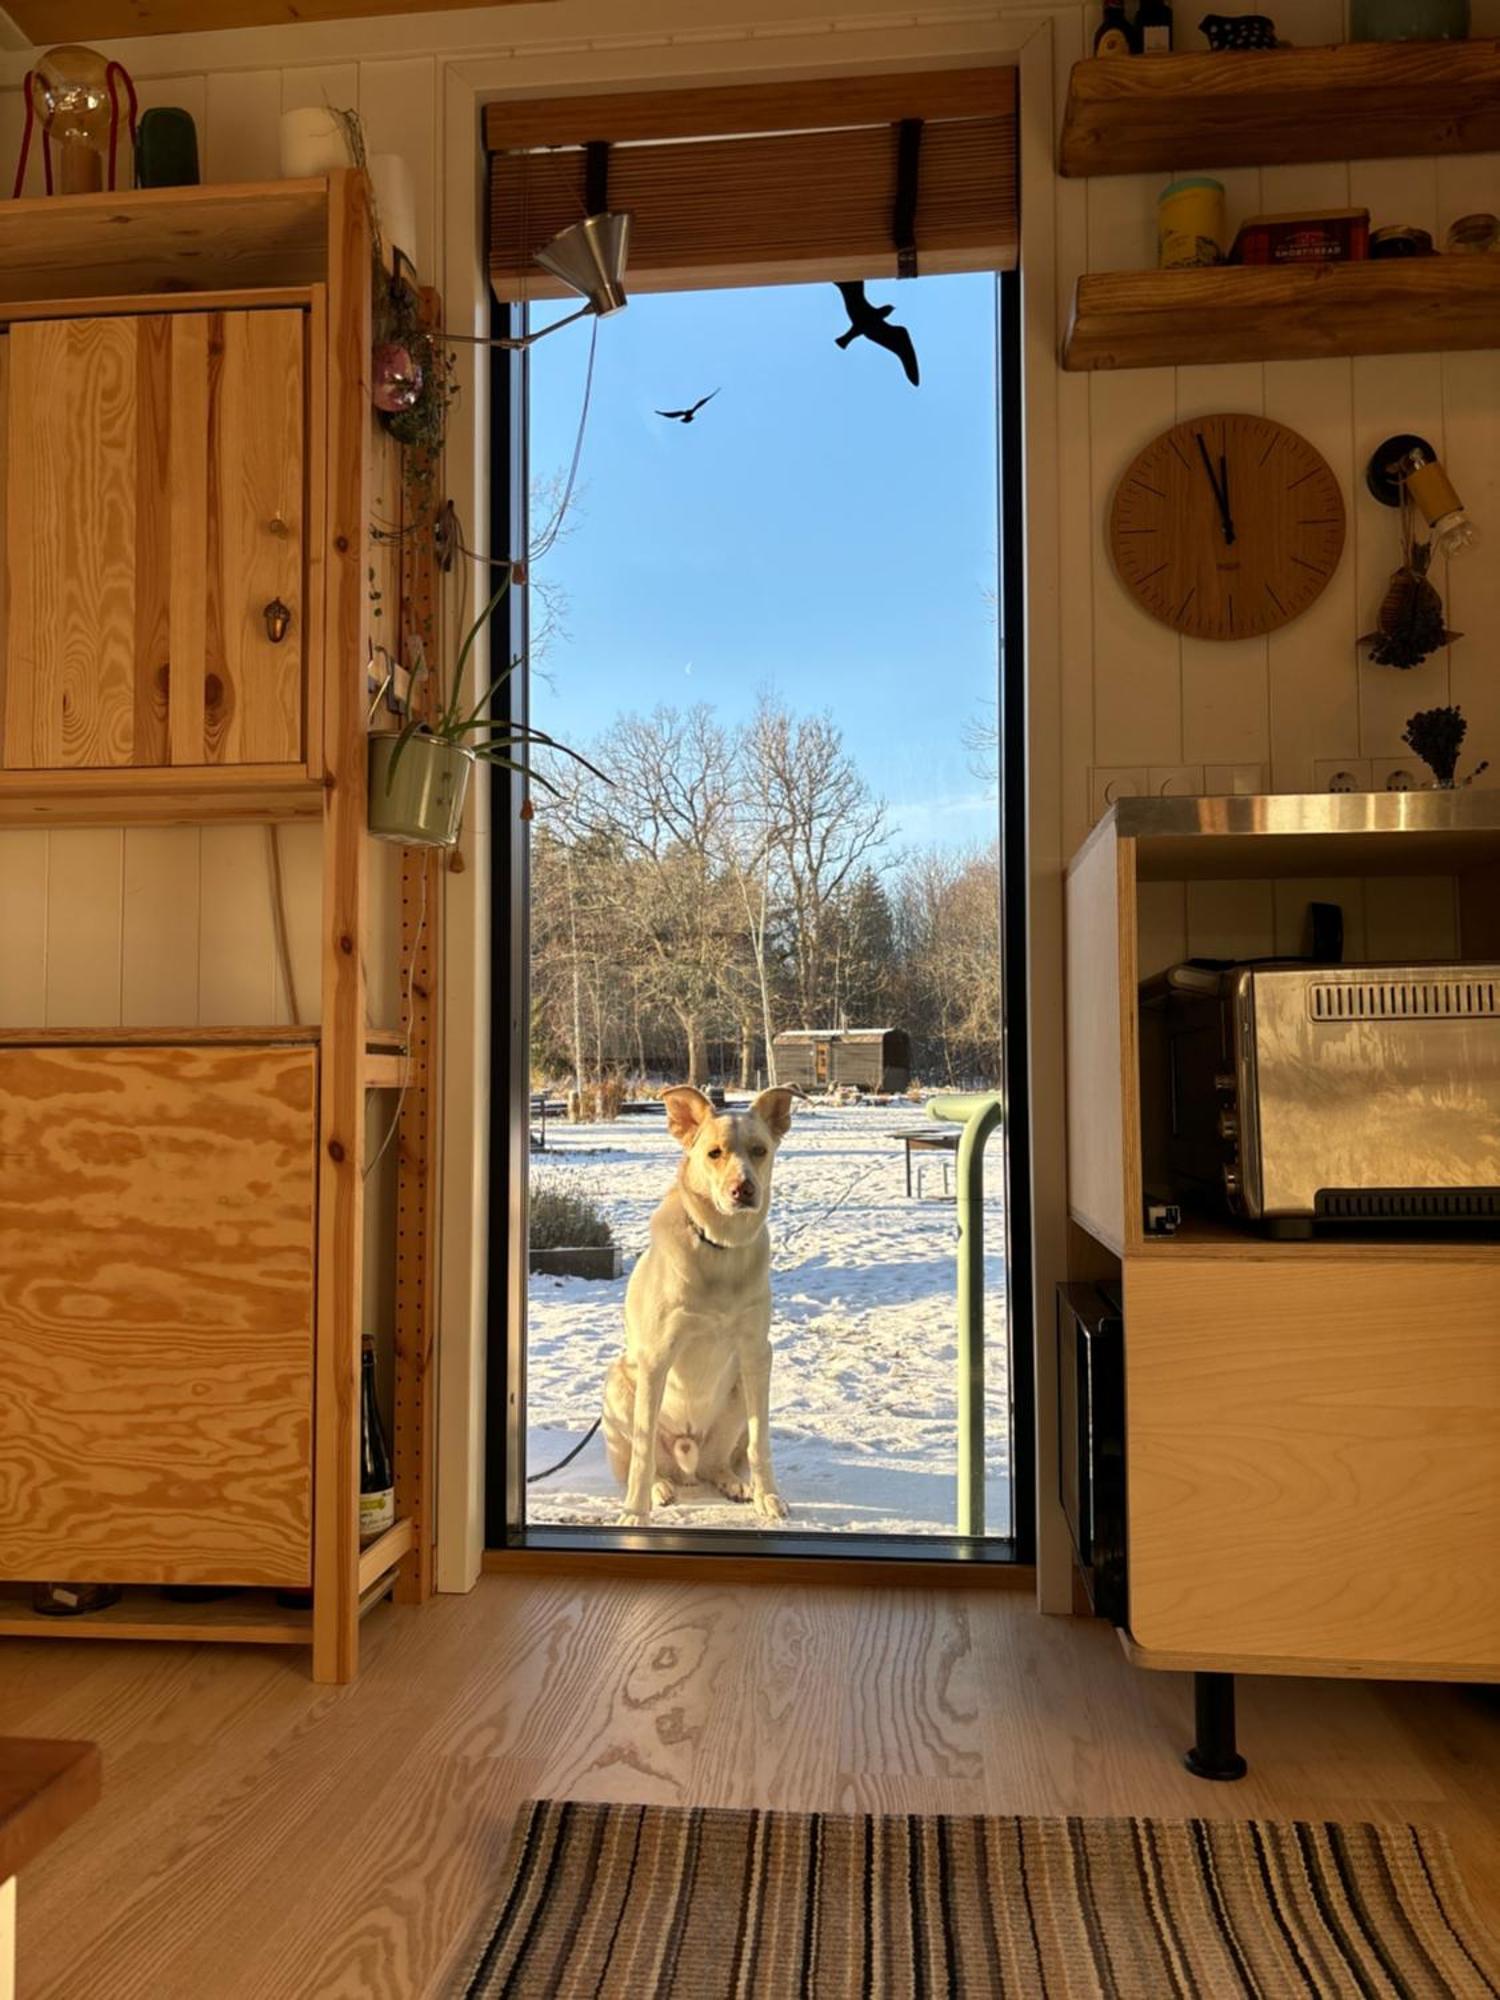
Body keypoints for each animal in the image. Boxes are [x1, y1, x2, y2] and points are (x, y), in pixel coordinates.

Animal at [604, 1088, 804, 1520]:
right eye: (715, 1153)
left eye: (760, 1150)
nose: (743, 1189)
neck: (720, 1248)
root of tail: (688, 1452)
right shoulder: (657, 1358)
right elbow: (642, 1451)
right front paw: (636, 1513)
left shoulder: (757, 1354)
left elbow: (760, 1442)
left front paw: (768, 1495)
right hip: (620, 1386)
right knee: (646, 1458)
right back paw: (658, 1488)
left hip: (738, 1391)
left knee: (718, 1462)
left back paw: (734, 1483)